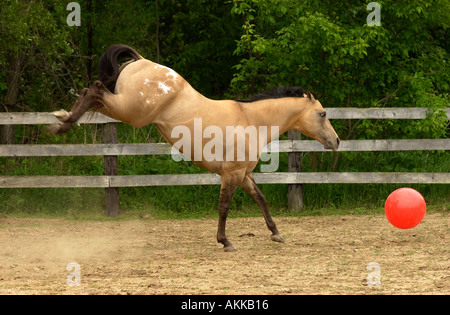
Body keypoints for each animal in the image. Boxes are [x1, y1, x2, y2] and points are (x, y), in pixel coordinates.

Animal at [47, 44, 340, 253]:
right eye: (323, 113)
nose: (336, 141)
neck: (250, 120)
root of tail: (142, 60)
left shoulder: (244, 174)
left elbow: (261, 199)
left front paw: (276, 233)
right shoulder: (231, 174)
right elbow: (224, 206)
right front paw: (226, 242)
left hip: (124, 108)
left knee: (92, 94)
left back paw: (62, 119)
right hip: (132, 111)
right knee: (94, 91)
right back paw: (62, 123)